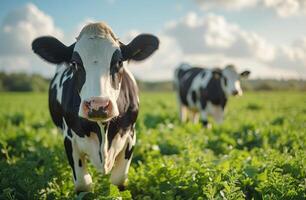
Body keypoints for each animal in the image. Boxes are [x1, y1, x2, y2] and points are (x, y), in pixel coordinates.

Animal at [32, 22, 159, 193]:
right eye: (75, 63)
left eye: (119, 62)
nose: (98, 105)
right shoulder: (69, 138)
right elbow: (83, 184)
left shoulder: (130, 134)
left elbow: (119, 179)